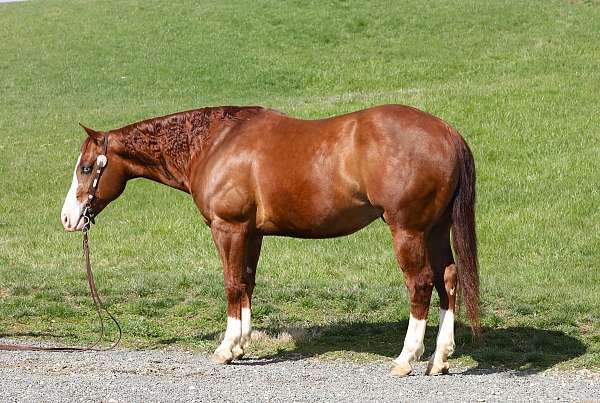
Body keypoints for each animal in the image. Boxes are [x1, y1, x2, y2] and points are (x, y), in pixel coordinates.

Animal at [62, 105, 478, 378]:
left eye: (87, 168)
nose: (68, 218)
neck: (216, 143)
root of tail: (447, 133)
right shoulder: (252, 232)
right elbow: (247, 282)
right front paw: (242, 344)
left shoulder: (228, 228)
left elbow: (232, 284)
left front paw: (226, 348)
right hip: (435, 230)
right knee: (448, 279)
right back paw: (439, 358)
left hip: (408, 231)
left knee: (421, 284)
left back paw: (407, 359)